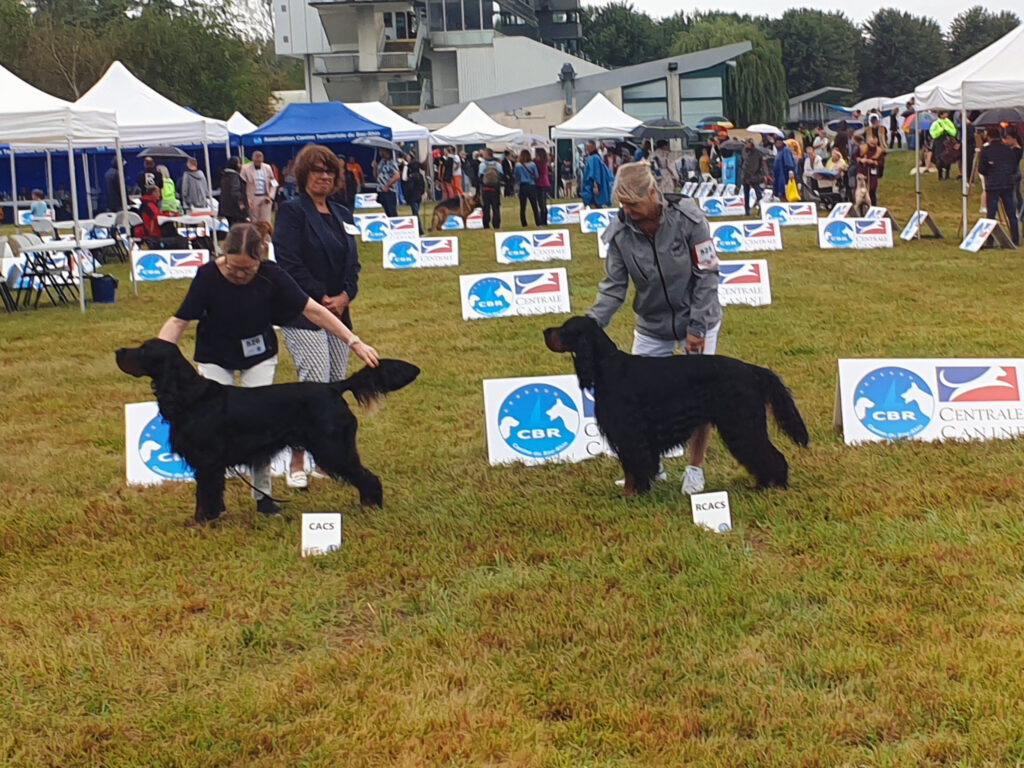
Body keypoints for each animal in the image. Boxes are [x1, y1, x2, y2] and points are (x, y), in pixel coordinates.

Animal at [117, 342, 421, 524]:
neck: (190, 396)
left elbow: (205, 494)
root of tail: (334, 387)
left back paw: (372, 507)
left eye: (143, 350)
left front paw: (204, 521)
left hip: (333, 449)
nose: (118, 351)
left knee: (368, 477)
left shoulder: (208, 461)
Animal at [544, 315, 806, 495]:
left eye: (565, 329)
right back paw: (762, 484)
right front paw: (632, 491)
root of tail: (753, 370)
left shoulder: (629, 432)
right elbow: (630, 467)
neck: (607, 366)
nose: (545, 331)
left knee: (770, 454)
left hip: (742, 423)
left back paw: (775, 486)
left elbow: (633, 466)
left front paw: (632, 494)